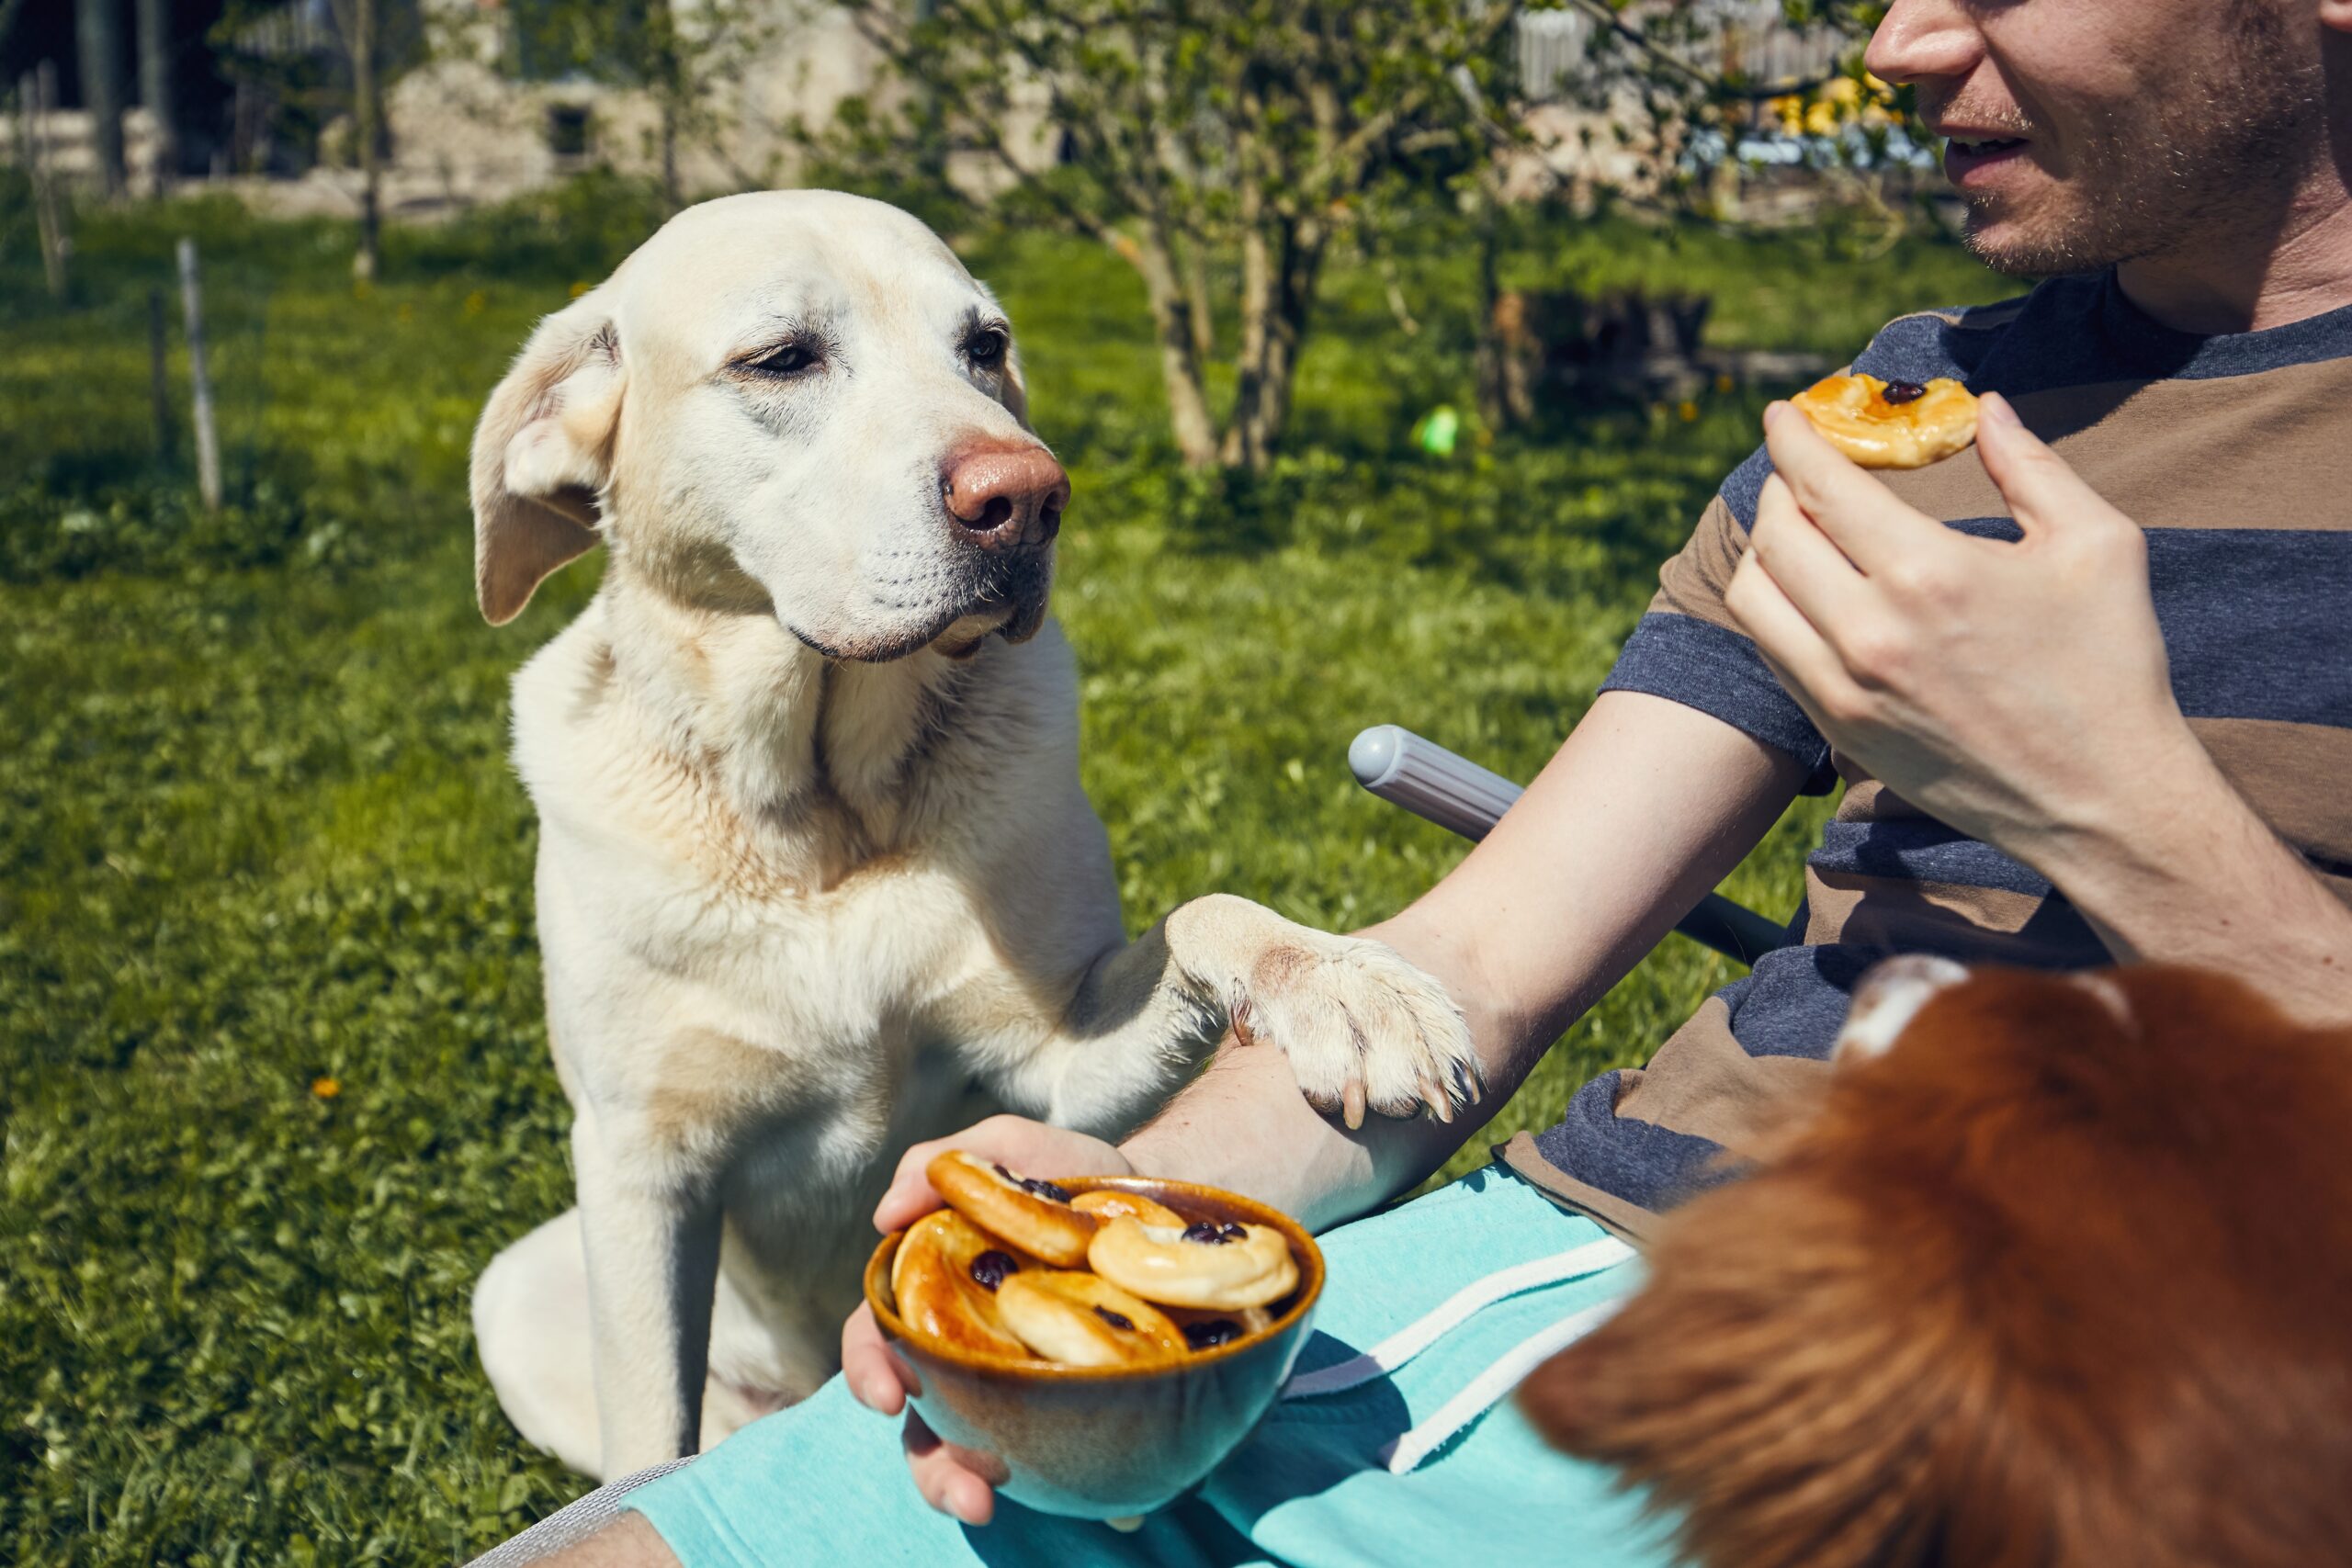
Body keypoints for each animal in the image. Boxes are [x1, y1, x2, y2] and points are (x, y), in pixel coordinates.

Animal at [468, 190, 1476, 1476]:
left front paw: (1343, 984)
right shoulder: (641, 1168)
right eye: (780, 359)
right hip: (521, 1287)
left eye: (983, 347)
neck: (822, 817)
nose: (1029, 497)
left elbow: (1204, 914)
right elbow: (655, 1434)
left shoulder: (1056, 1074)